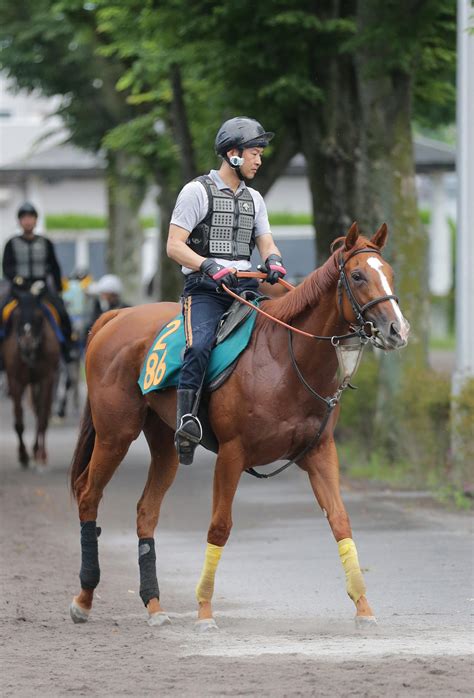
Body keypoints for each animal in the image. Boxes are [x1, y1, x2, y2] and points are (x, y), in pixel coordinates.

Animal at [2, 282, 61, 468]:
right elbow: (19, 421)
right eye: (16, 315)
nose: (27, 346)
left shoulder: (47, 379)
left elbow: (42, 417)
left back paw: (39, 452)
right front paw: (23, 455)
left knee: (41, 412)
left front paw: (39, 453)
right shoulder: (14, 380)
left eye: (39, 316)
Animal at [68, 224, 410, 632]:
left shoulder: (319, 452)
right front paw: (204, 611)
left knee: (146, 511)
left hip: (165, 445)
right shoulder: (232, 454)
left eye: (389, 273)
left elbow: (340, 521)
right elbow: (219, 526)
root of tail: (116, 316)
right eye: (357, 276)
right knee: (88, 495)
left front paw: (363, 606)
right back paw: (84, 598)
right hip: (115, 435)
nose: (397, 330)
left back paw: (154, 605)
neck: (284, 359)